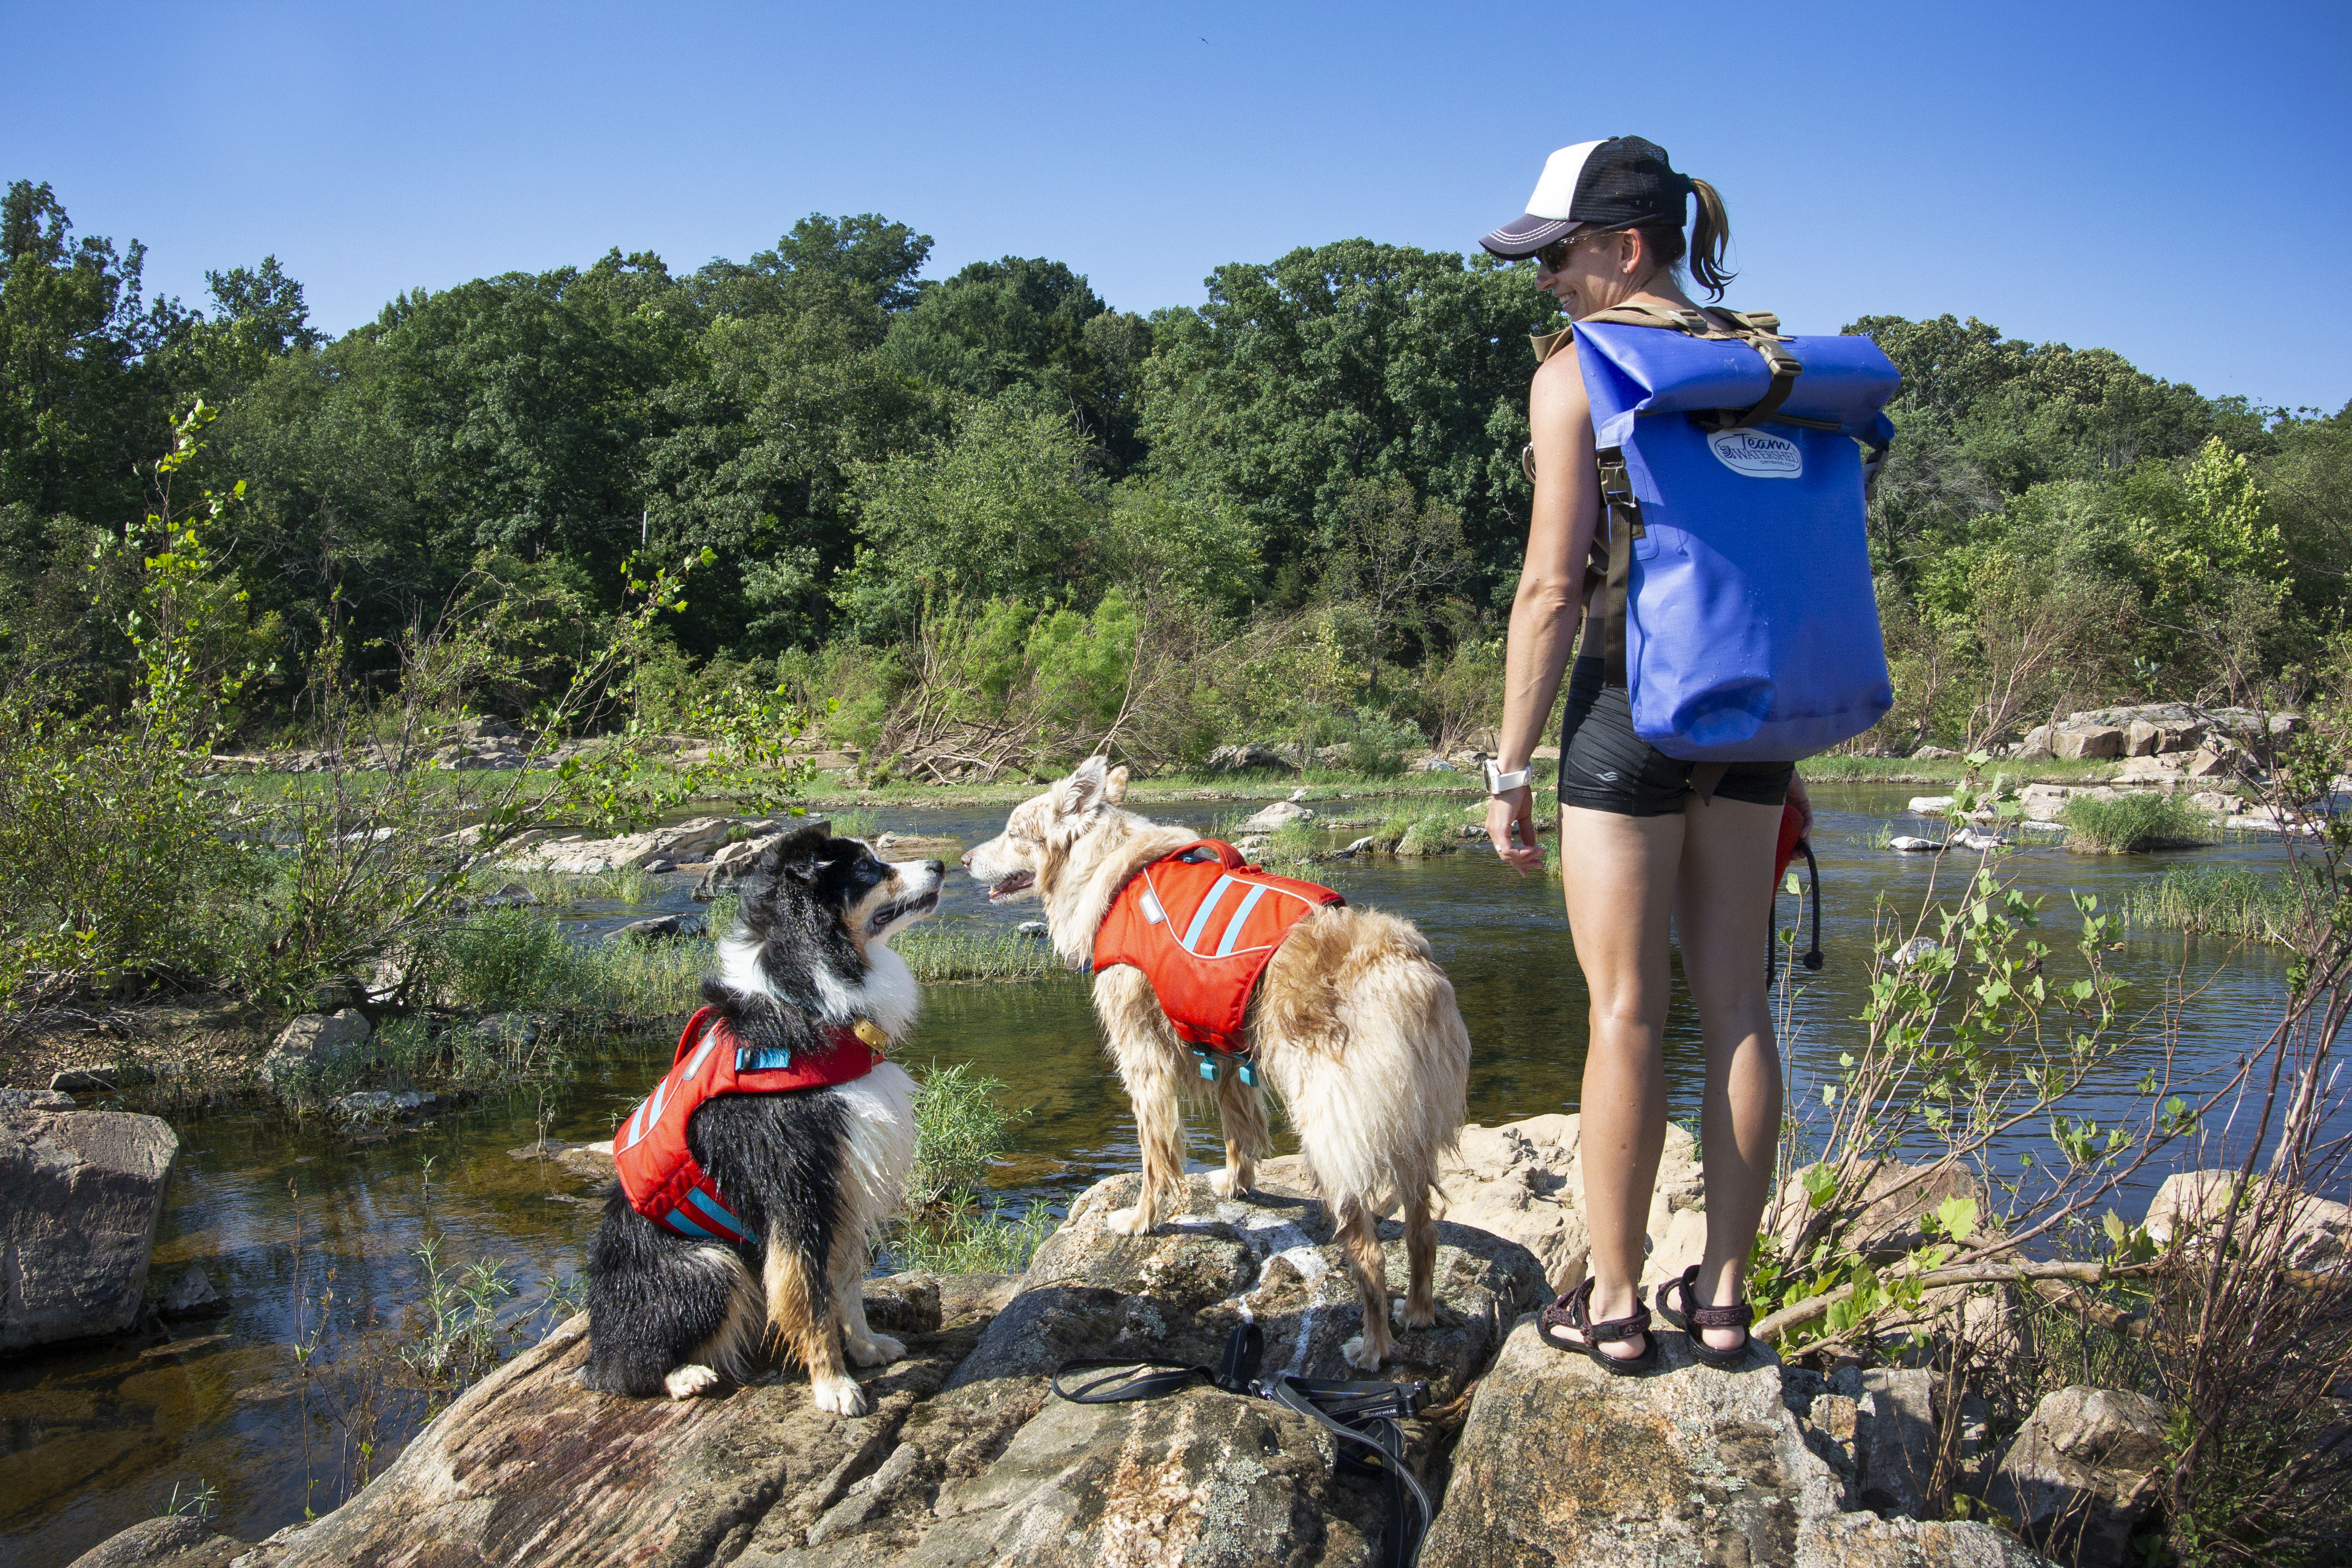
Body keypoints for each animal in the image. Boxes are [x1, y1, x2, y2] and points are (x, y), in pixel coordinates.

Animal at [583, 827, 941, 1419]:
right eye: (868, 869)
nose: (940, 864)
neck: (809, 1001)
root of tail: (598, 1341)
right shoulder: (796, 1189)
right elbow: (809, 1296)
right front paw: (834, 1386)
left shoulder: (844, 1181)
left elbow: (845, 1282)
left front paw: (866, 1348)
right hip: (707, 1263)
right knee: (623, 1369)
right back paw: (684, 1376)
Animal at [964, 757, 1458, 1363]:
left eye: (1014, 832)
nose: (962, 860)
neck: (1107, 867)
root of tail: (1401, 967)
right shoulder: (1223, 1048)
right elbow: (1236, 1128)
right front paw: (1235, 1186)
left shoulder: (1143, 1056)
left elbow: (1155, 1158)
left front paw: (1141, 1220)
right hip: (1409, 1119)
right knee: (1423, 1227)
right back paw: (1418, 1312)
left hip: (1335, 1125)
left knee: (1368, 1249)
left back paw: (1374, 1346)